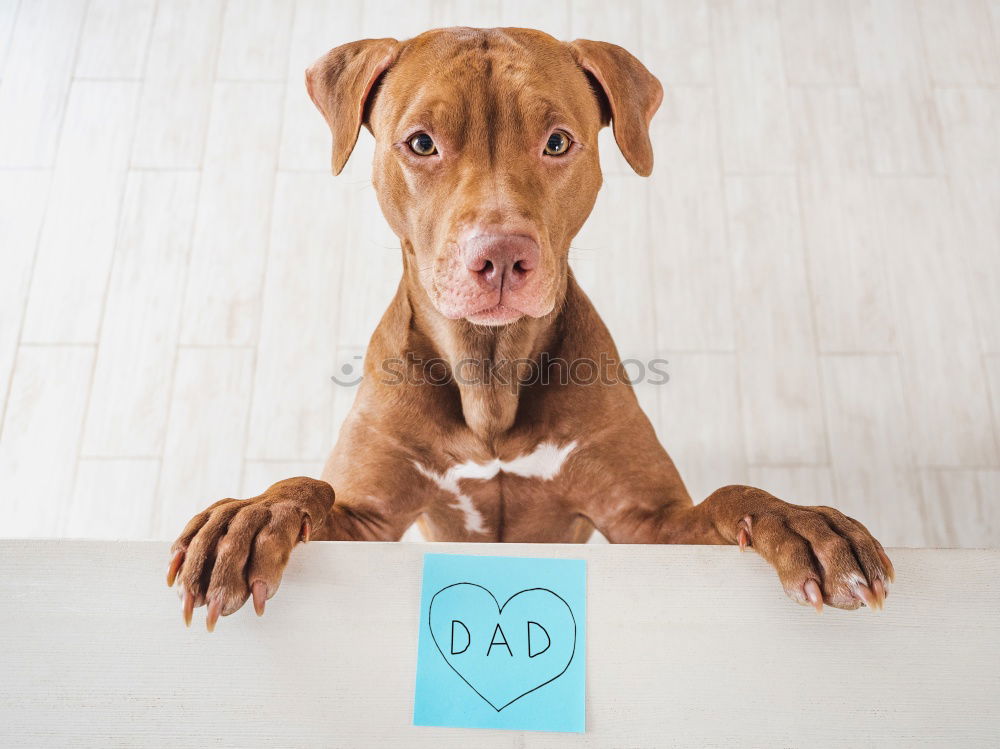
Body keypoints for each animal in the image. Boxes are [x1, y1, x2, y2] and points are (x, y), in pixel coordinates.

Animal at [164, 26, 892, 628]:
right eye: (421, 142)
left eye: (558, 142)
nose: (502, 255)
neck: (490, 377)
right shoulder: (365, 520)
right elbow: (309, 489)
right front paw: (251, 514)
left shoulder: (649, 525)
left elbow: (729, 494)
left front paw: (801, 521)